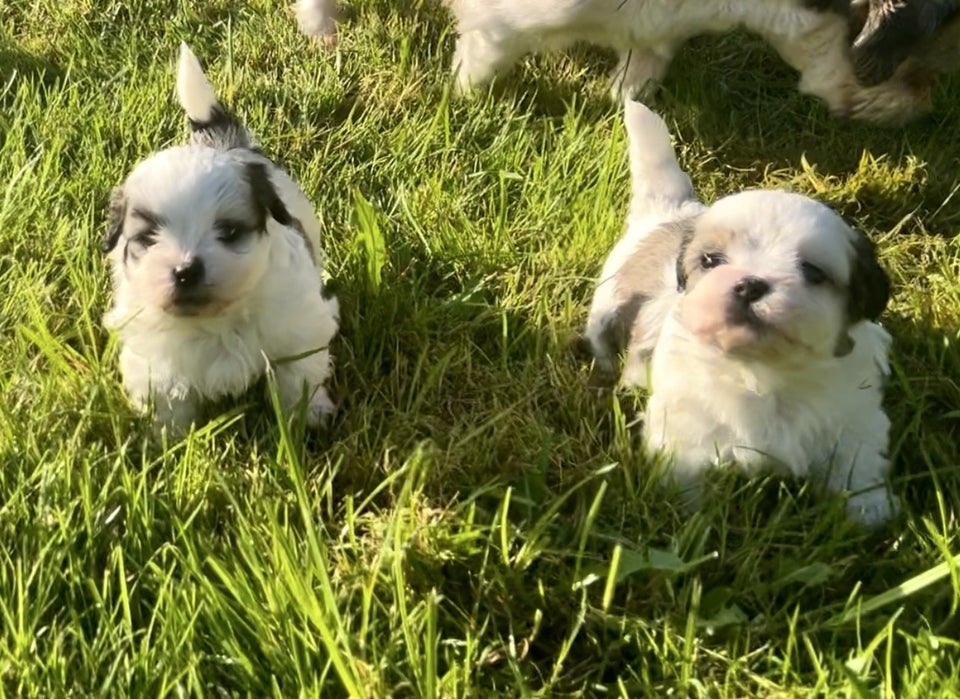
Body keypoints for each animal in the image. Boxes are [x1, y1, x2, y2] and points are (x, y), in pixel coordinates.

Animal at [101, 42, 340, 432]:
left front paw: (307, 417)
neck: (215, 318)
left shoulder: (297, 327)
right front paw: (170, 436)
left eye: (228, 231)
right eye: (148, 238)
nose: (185, 271)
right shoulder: (156, 357)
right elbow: (169, 399)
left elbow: (298, 375)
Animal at [584, 98, 900, 524]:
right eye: (711, 260)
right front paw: (684, 516)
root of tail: (674, 210)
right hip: (605, 305)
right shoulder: (687, 425)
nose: (750, 284)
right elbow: (686, 473)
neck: (762, 368)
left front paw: (869, 514)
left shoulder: (855, 416)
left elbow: (857, 462)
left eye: (813, 271)